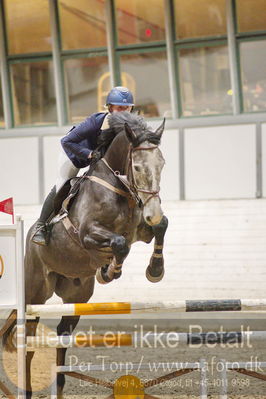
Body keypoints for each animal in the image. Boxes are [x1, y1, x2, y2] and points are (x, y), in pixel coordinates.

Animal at [2, 111, 168, 398]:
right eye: (137, 168)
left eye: (162, 164)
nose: (153, 210)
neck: (117, 188)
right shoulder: (87, 235)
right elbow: (119, 243)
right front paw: (109, 271)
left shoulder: (142, 230)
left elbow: (159, 227)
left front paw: (155, 270)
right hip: (35, 293)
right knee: (30, 340)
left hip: (76, 296)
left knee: (62, 334)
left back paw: (58, 386)